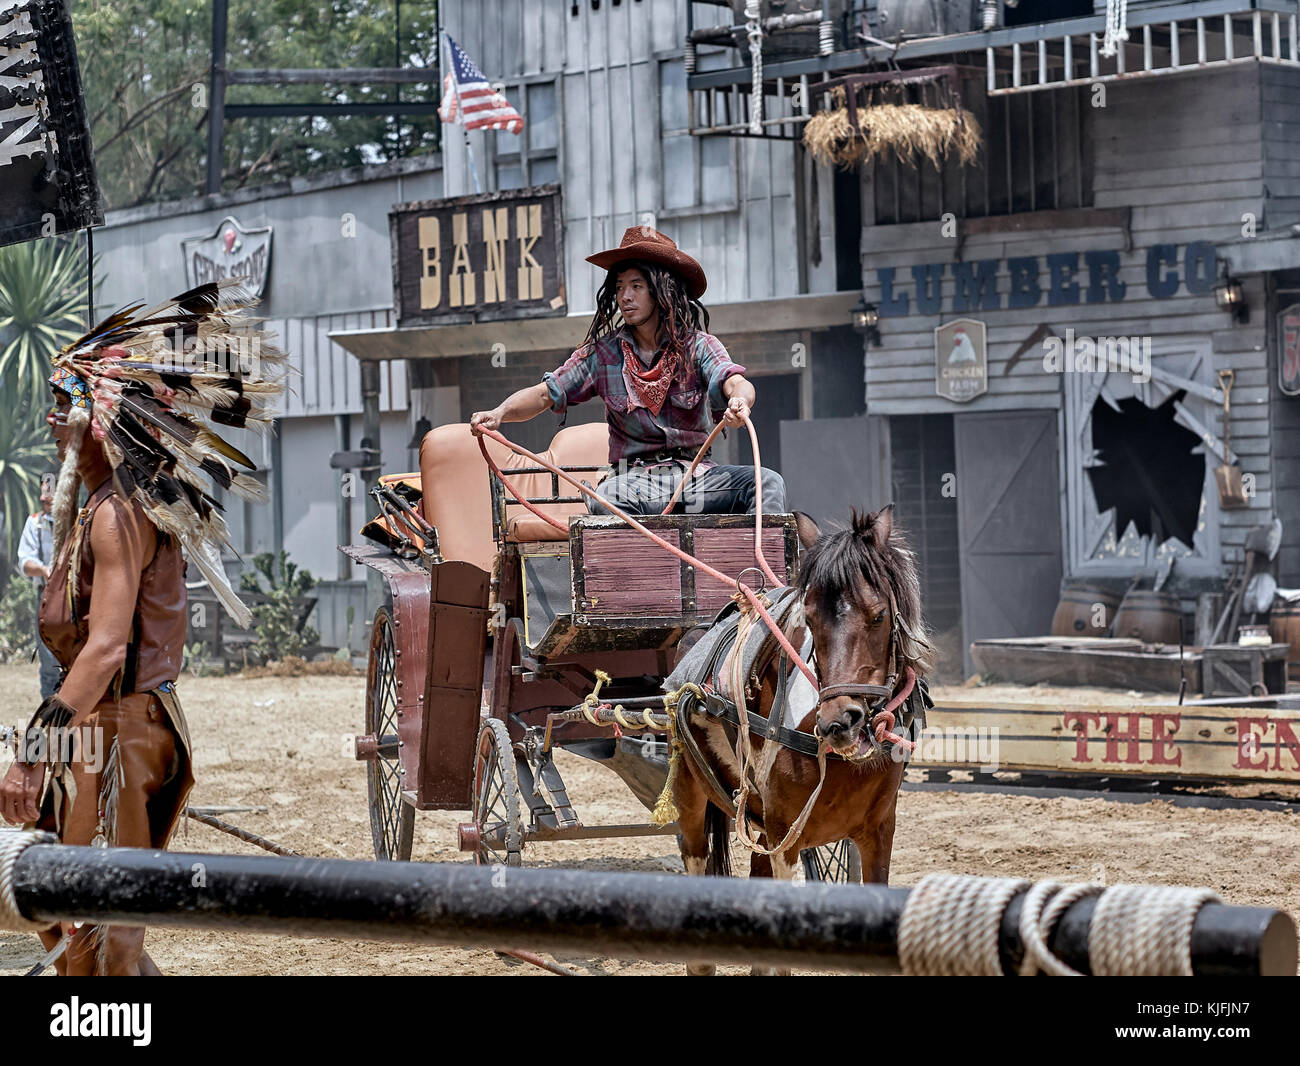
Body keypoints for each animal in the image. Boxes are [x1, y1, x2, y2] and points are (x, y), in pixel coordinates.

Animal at [670, 506, 935, 972]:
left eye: (879, 615)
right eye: (809, 619)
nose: (838, 722)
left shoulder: (879, 829)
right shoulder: (785, 839)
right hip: (691, 802)